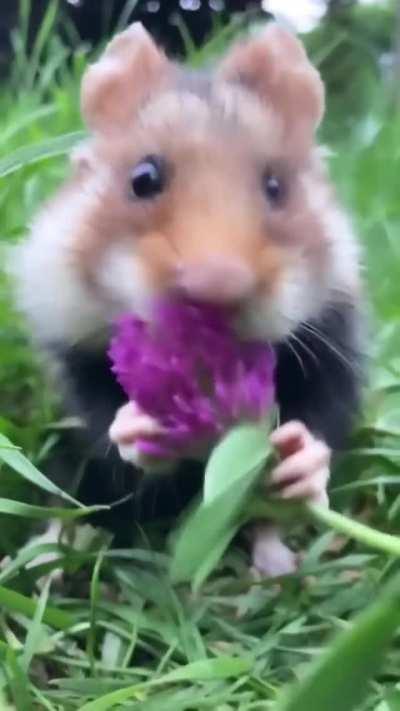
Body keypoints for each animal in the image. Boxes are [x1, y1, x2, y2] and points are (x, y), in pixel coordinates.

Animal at [13, 23, 363, 577]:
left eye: (276, 186)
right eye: (143, 178)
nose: (216, 287)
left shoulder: (335, 339)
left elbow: (321, 420)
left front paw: (298, 460)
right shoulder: (71, 346)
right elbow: (104, 417)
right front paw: (141, 424)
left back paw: (277, 565)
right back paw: (43, 559)